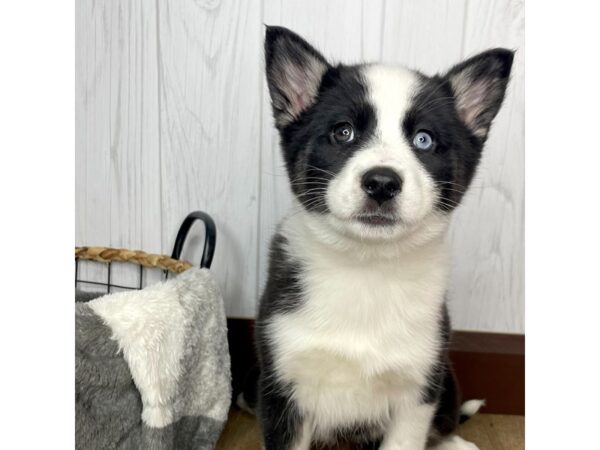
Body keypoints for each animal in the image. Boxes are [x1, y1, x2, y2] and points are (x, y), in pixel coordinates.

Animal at [255, 26, 512, 448]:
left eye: (424, 140)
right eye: (343, 132)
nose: (381, 183)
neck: (366, 266)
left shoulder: (418, 388)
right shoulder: (282, 386)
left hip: (447, 377)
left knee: (446, 423)